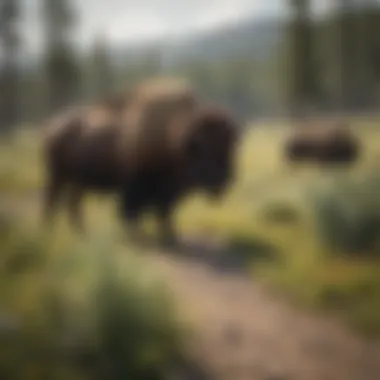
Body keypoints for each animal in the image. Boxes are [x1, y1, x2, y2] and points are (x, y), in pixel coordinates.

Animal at [42, 76, 240, 246]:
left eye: (229, 147)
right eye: (204, 149)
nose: (224, 180)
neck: (169, 136)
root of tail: (52, 126)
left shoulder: (167, 192)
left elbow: (165, 213)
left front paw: (170, 236)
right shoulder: (135, 187)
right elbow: (132, 212)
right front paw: (137, 236)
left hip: (76, 181)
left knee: (72, 204)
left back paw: (81, 233)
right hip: (58, 176)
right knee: (52, 201)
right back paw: (49, 233)